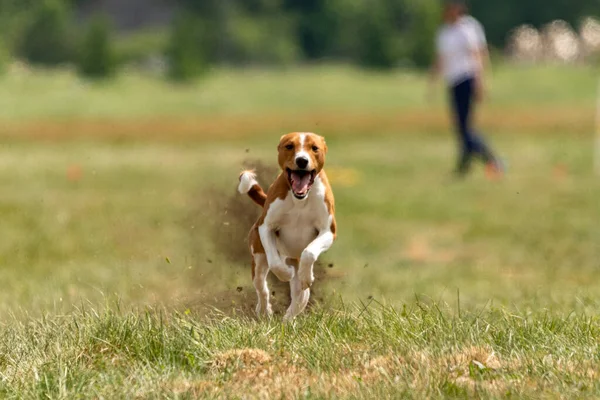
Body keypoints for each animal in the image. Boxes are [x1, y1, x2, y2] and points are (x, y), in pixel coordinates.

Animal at [237, 133, 336, 320]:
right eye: (289, 146)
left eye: (314, 148)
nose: (302, 160)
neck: (300, 200)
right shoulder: (266, 227)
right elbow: (275, 263)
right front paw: (285, 273)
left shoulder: (328, 231)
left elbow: (309, 252)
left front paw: (305, 275)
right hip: (258, 259)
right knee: (262, 288)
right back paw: (265, 311)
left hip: (299, 282)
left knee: (299, 298)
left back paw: (287, 320)